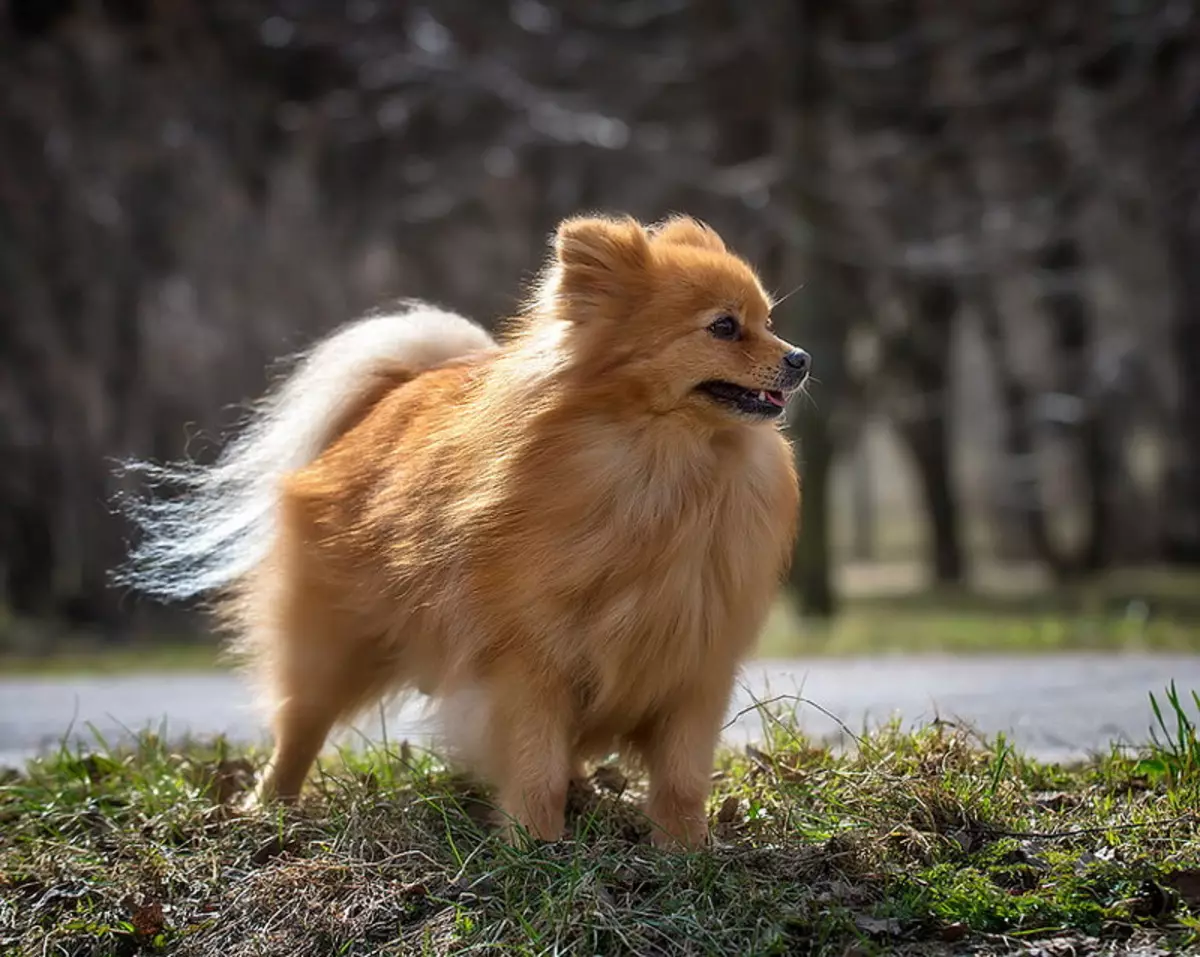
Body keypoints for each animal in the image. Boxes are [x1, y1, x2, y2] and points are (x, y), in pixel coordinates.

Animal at [121, 215, 811, 849]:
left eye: (769, 320)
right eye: (724, 326)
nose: (800, 356)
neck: (665, 471)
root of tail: (390, 398)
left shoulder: (696, 663)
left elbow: (681, 777)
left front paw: (685, 851)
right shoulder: (531, 659)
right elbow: (534, 764)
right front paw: (536, 848)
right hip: (333, 643)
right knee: (300, 725)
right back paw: (269, 807)